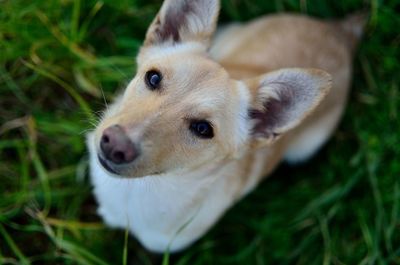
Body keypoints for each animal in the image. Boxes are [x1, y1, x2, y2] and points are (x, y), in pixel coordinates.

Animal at [87, 0, 366, 252]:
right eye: (153, 77)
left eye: (203, 129)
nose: (114, 145)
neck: (135, 191)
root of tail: (340, 33)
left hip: (305, 149)